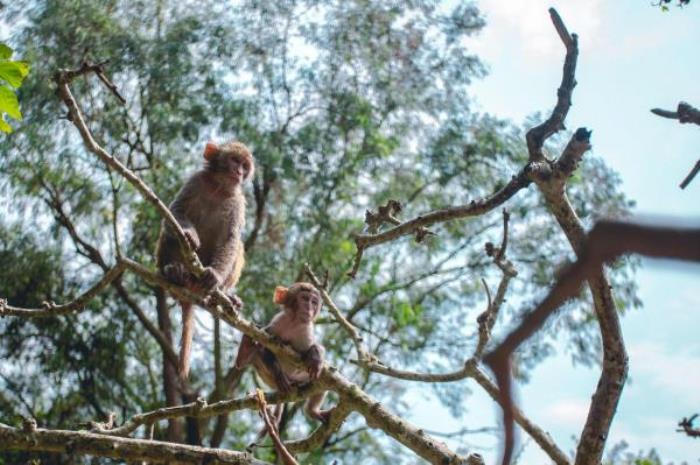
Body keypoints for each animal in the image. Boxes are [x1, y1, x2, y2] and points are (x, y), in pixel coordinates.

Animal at [157, 140, 254, 378]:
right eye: (234, 160)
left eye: (245, 166)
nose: (239, 172)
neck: (217, 187)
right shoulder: (195, 181)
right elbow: (175, 212)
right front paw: (189, 235)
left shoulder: (237, 202)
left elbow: (230, 240)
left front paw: (215, 277)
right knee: (168, 233)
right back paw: (173, 272)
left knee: (238, 246)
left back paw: (222, 294)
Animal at [237, 282, 332, 432]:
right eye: (305, 299)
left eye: (314, 302)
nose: (309, 308)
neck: (294, 322)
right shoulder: (278, 322)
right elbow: (264, 346)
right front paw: (279, 374)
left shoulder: (306, 331)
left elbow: (313, 351)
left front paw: (315, 357)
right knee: (253, 354)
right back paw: (244, 351)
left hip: (300, 381)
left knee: (322, 380)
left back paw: (312, 411)